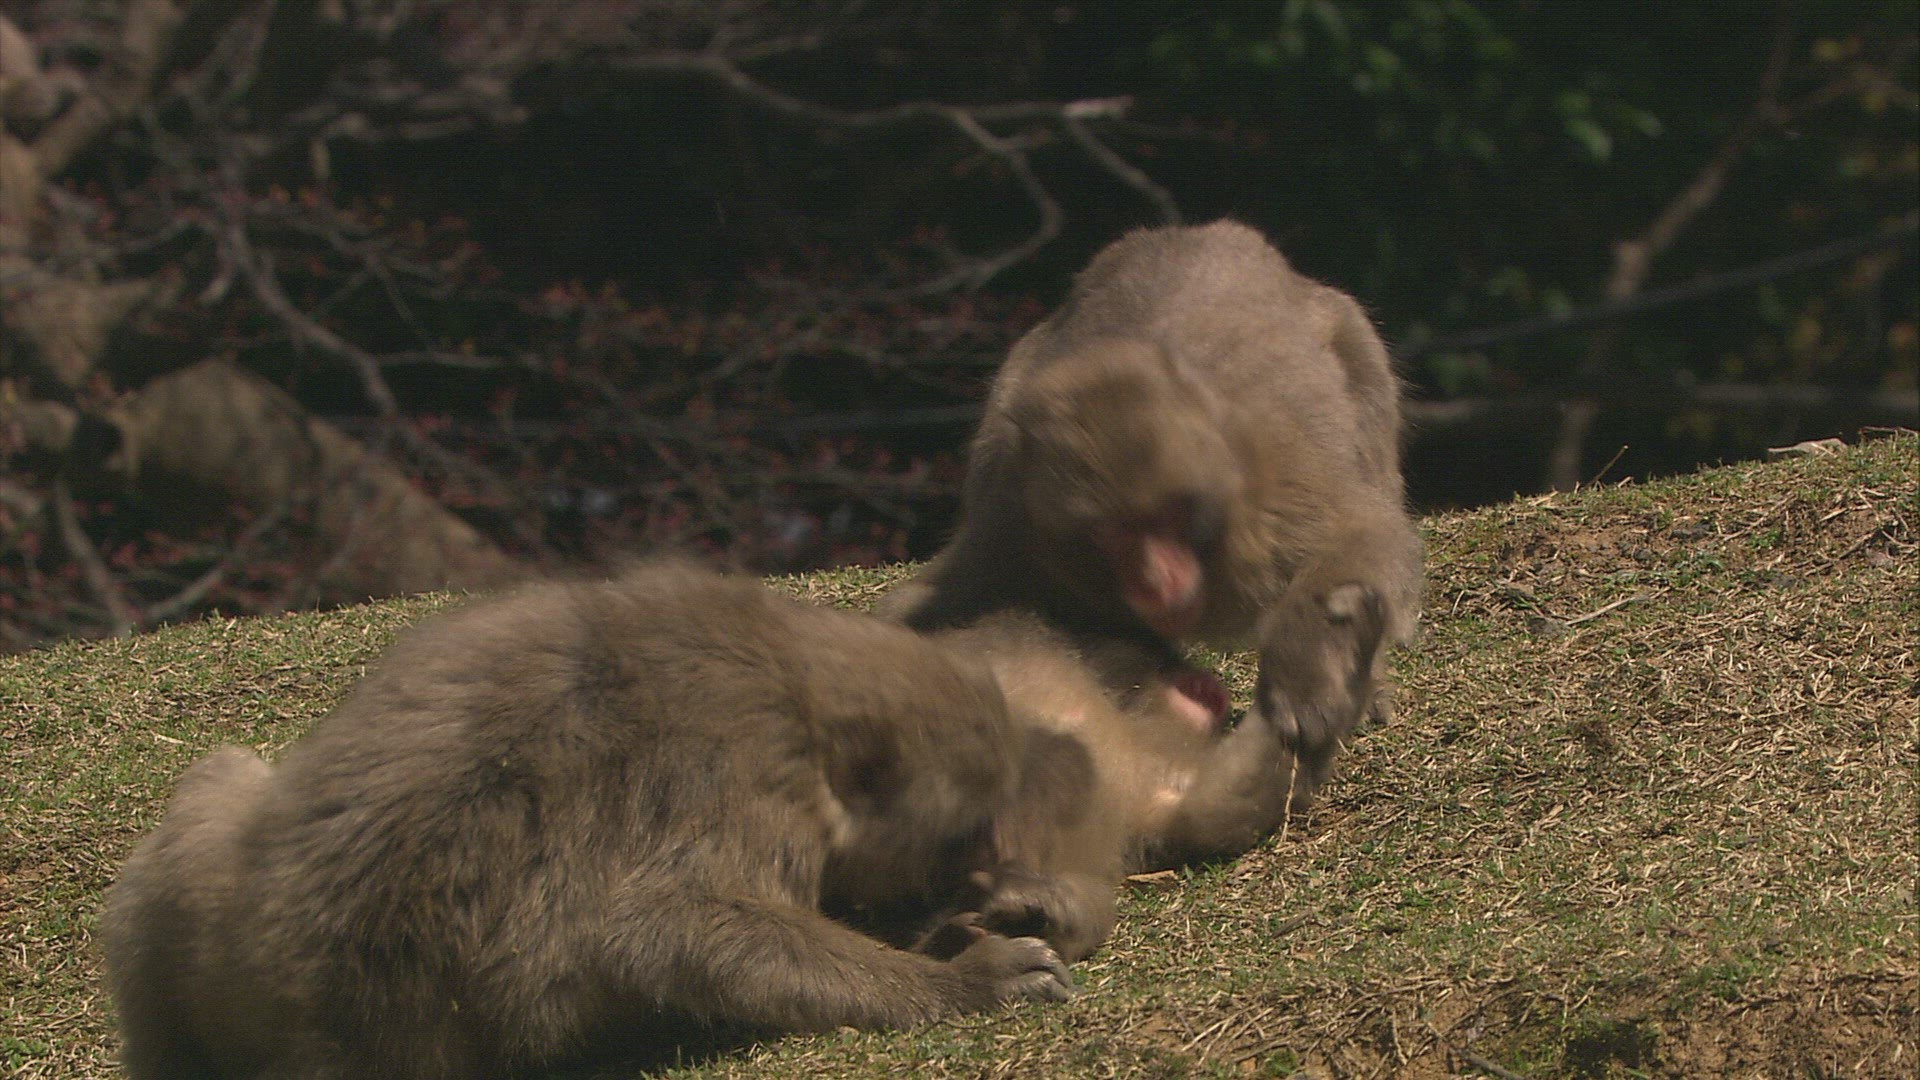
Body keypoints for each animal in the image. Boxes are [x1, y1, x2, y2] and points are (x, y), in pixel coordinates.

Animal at [100, 563, 1079, 1080]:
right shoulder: (747, 764)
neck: (795, 682)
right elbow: (663, 926)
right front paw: (964, 973)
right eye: (958, 833)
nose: (970, 873)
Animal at [888, 220, 1422, 806]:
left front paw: (1307, 680)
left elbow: (1360, 539)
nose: (1156, 578)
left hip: (1342, 326)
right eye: (1112, 533)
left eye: (1169, 520)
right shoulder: (1012, 521)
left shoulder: (1281, 491)